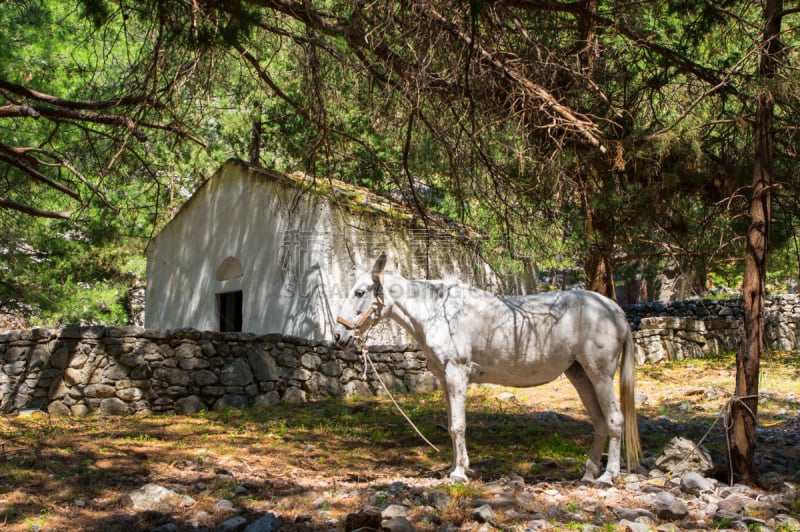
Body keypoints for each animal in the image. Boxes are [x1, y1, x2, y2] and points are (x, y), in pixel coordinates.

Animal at [334, 254, 640, 486]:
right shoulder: (446, 380)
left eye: (359, 292)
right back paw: (588, 474)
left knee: (614, 420)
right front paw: (455, 468)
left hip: (600, 375)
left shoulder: (456, 375)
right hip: (580, 375)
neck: (437, 311)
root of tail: (614, 310)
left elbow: (458, 426)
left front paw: (459, 474)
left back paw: (608, 476)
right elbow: (451, 426)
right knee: (600, 422)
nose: (339, 335)